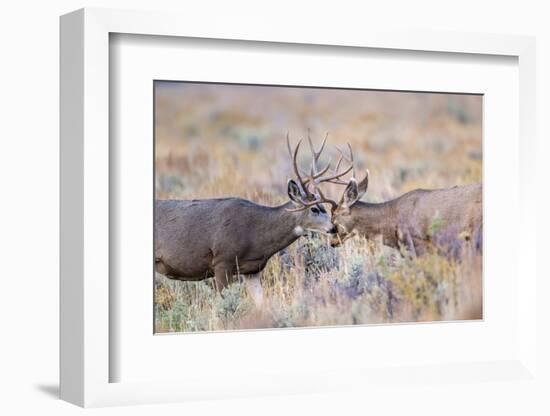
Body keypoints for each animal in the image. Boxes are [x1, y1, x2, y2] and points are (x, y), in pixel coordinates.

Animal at [153, 135, 338, 304]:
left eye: (324, 208)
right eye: (314, 209)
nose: (334, 228)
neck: (255, 235)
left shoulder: (252, 270)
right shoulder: (222, 260)